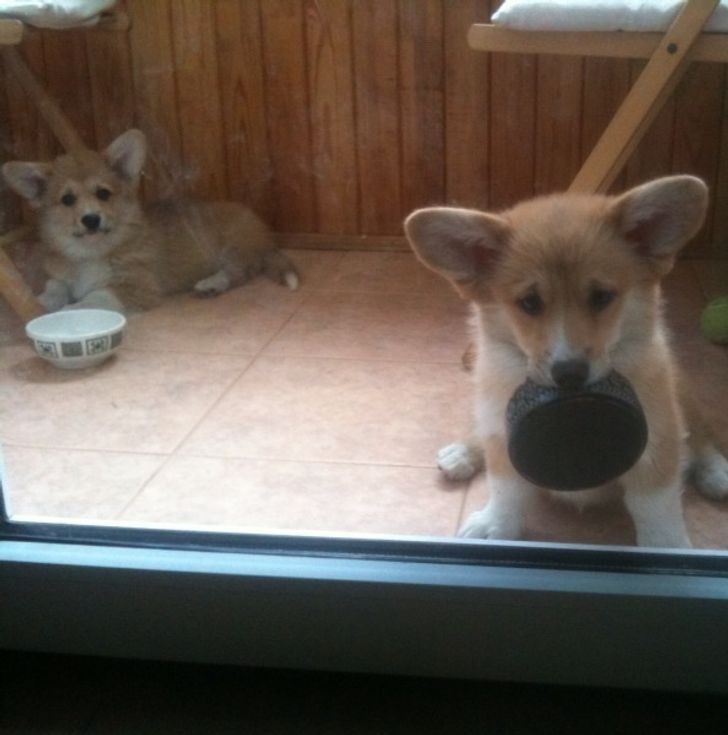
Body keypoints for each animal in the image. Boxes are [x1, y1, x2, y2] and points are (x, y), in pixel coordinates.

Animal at [2, 129, 298, 314]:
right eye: (67, 200)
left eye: (103, 194)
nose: (91, 219)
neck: (91, 252)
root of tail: (265, 234)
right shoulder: (62, 278)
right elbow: (54, 288)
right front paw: (40, 304)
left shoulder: (133, 287)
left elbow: (95, 297)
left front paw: (71, 311)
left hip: (234, 248)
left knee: (240, 273)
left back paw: (211, 284)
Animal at [406, 177, 728, 548]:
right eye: (529, 302)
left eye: (601, 297)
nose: (569, 373)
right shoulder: (505, 439)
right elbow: (506, 489)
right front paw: (496, 524)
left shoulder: (659, 440)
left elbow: (655, 504)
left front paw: (666, 546)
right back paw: (462, 452)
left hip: (682, 397)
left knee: (701, 436)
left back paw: (716, 471)